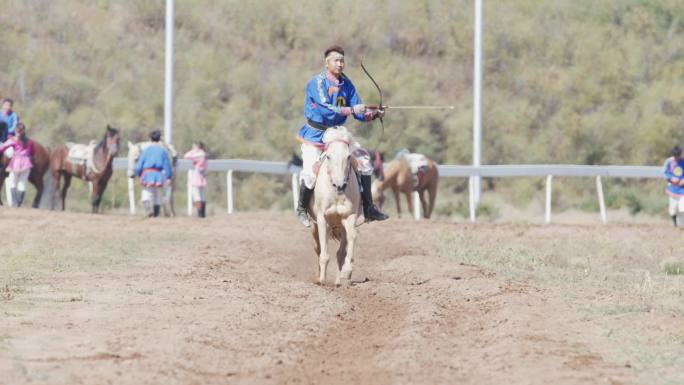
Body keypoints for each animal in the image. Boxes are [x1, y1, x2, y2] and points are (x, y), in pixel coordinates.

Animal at [310, 126, 364, 284]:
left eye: (348, 156)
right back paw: (319, 277)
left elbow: (352, 238)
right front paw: (321, 280)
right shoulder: (322, 219)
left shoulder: (349, 217)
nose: (340, 185)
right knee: (318, 248)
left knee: (340, 252)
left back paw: (338, 282)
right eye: (328, 156)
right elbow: (323, 253)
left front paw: (347, 272)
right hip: (316, 226)